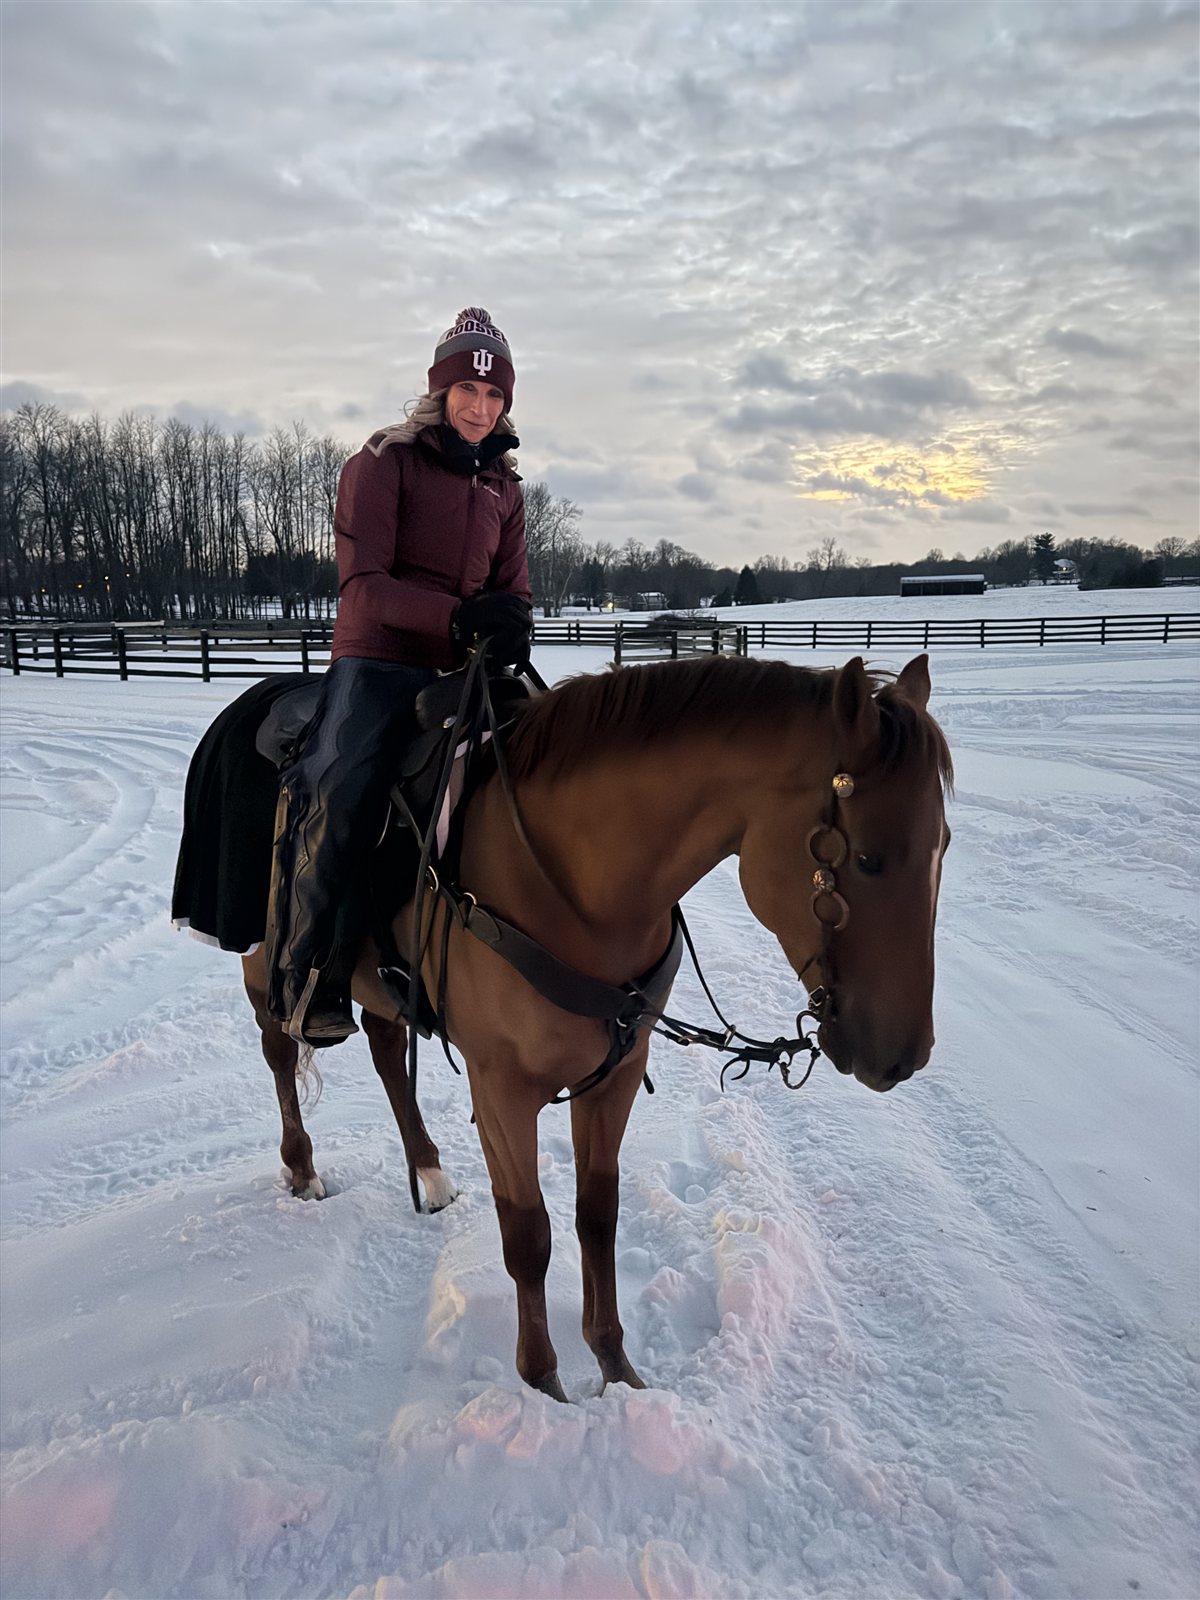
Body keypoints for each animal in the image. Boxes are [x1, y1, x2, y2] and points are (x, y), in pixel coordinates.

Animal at [185, 652, 951, 1401]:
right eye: (867, 857)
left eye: (944, 842)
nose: (904, 1055)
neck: (574, 887)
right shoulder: (501, 1090)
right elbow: (528, 1233)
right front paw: (545, 1384)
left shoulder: (616, 1076)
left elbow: (597, 1216)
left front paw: (616, 1371)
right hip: (264, 965)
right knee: (279, 1052)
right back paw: (302, 1167)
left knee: (385, 1052)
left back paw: (428, 1172)